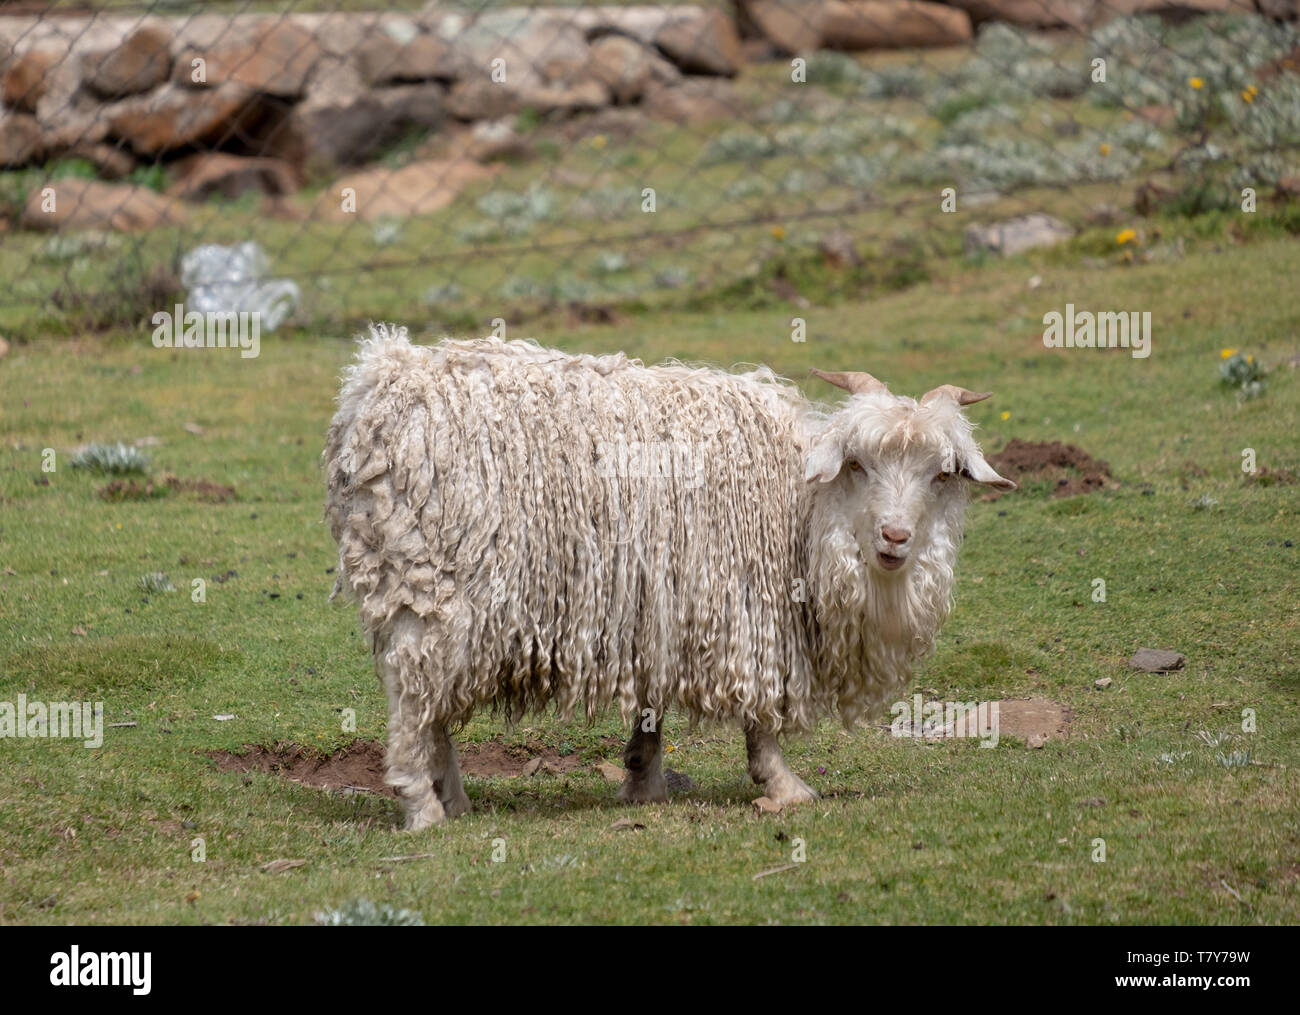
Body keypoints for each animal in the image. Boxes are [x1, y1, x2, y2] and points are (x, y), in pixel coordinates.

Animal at [325, 328, 1013, 826]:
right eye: (858, 465)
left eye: (941, 475)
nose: (895, 539)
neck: (800, 498)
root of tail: (376, 388)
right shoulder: (748, 606)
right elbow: (760, 708)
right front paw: (784, 785)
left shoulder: (659, 599)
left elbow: (653, 696)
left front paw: (643, 779)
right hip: (438, 579)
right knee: (413, 689)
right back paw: (423, 807)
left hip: (414, 584)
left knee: (428, 693)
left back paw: (454, 797)